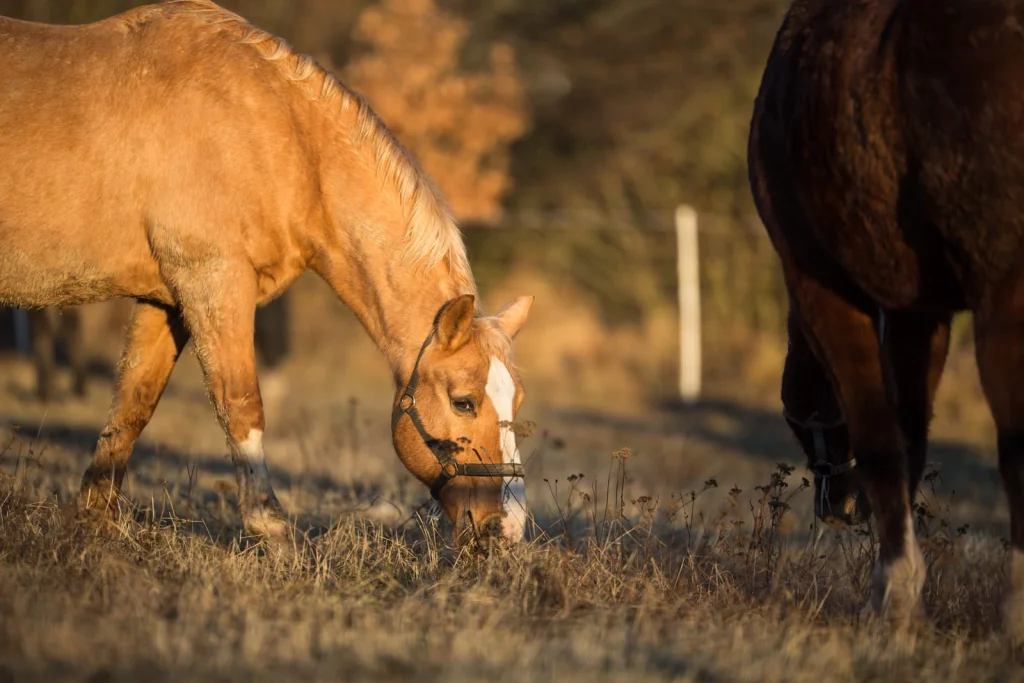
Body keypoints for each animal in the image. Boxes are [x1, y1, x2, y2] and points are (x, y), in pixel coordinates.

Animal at [0, 0, 533, 550]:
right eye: (464, 402)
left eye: (514, 398)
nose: (508, 529)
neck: (279, 134)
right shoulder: (213, 281)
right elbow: (241, 403)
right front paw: (271, 528)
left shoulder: (166, 300)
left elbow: (133, 404)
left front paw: (94, 521)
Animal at [749, 0, 1024, 641]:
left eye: (795, 415)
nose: (838, 506)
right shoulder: (916, 308)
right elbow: (911, 437)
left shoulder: (822, 283)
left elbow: (881, 435)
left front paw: (892, 599)